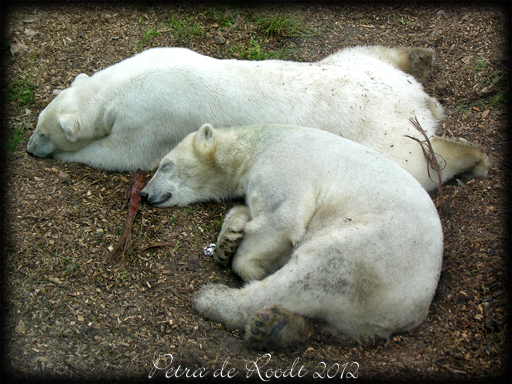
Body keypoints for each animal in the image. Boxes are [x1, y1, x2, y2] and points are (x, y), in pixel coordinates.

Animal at [26, 45, 490, 192]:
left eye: (43, 132)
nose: (30, 148)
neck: (124, 83)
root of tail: (417, 99)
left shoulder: (150, 117)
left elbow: (124, 154)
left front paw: (72, 155)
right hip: (356, 65)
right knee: (373, 52)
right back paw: (419, 56)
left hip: (379, 131)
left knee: (415, 163)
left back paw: (474, 157)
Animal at [141, 124, 444, 350]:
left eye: (165, 165)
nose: (143, 193)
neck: (257, 146)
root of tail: (410, 314)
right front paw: (227, 240)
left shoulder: (284, 164)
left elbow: (283, 219)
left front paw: (248, 265)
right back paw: (278, 327)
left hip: (370, 254)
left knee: (310, 276)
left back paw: (214, 299)